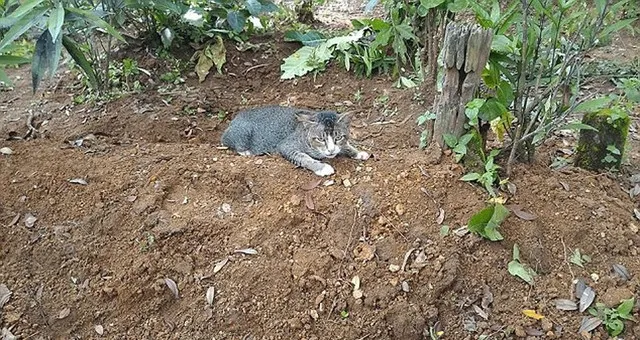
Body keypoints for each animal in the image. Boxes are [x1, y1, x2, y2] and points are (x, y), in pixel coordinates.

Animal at [221, 105, 368, 175]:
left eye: (338, 137)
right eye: (320, 139)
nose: (331, 150)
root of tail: (234, 120)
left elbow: (345, 146)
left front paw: (358, 152)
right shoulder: (286, 146)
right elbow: (305, 158)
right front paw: (322, 167)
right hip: (242, 133)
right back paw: (246, 151)